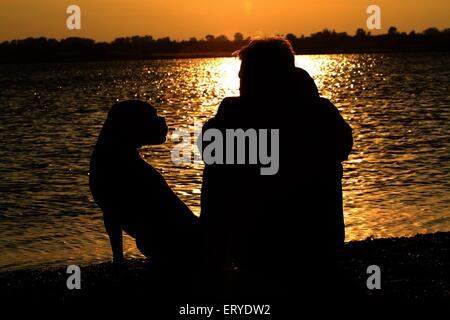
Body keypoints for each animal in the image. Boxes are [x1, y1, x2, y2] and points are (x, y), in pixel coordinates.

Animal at [89, 100, 198, 270]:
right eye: (151, 115)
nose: (163, 119)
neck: (118, 148)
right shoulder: (109, 214)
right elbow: (116, 246)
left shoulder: (111, 213)